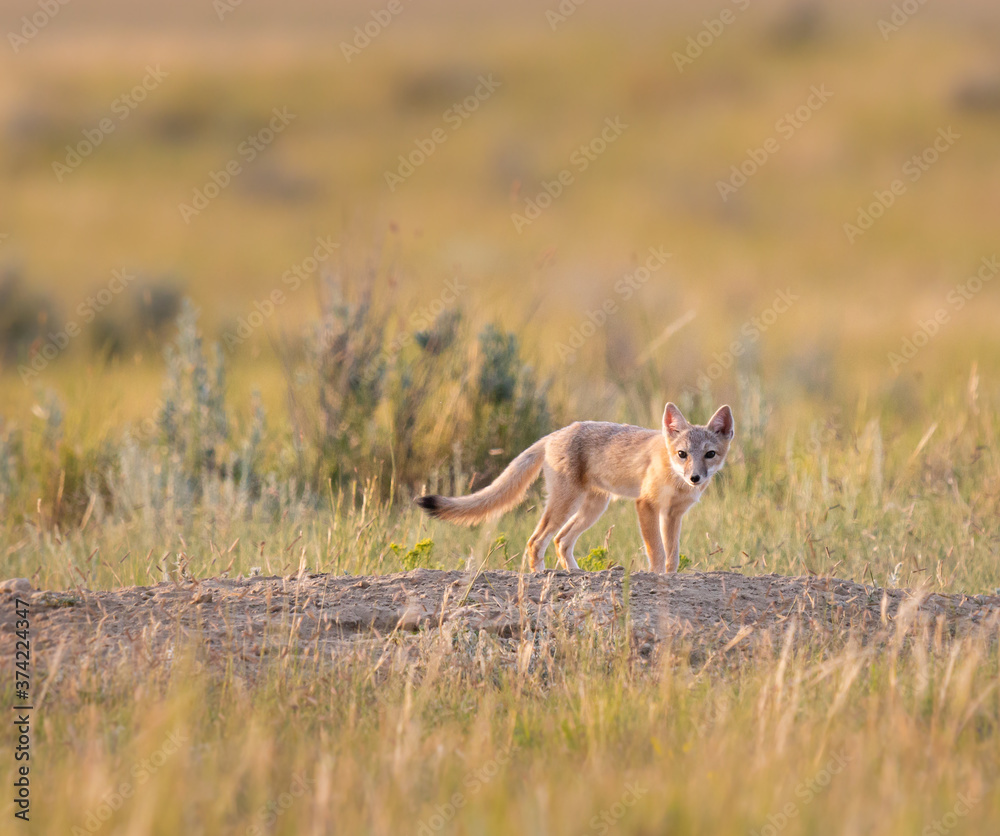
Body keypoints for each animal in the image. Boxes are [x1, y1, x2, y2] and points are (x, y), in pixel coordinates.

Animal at [416, 403, 734, 573]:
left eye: (710, 454)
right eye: (682, 454)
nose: (695, 478)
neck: (675, 480)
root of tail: (554, 434)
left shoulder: (672, 514)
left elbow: (672, 554)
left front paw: (669, 577)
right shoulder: (646, 505)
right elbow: (656, 550)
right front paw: (656, 576)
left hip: (593, 508)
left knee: (561, 540)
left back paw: (574, 573)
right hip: (567, 503)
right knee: (536, 541)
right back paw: (541, 575)